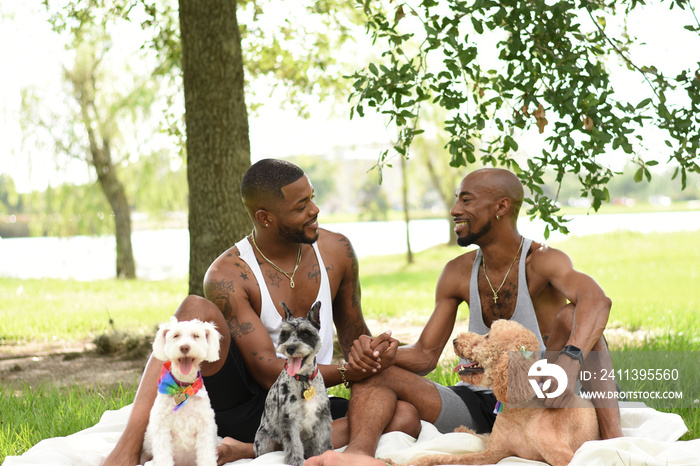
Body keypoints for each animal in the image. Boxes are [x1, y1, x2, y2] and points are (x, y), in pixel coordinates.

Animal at [141, 318, 220, 466]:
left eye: (196, 335)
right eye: (176, 335)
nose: (184, 347)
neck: (183, 388)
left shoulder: (205, 427)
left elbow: (206, 455)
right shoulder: (161, 427)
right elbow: (163, 455)